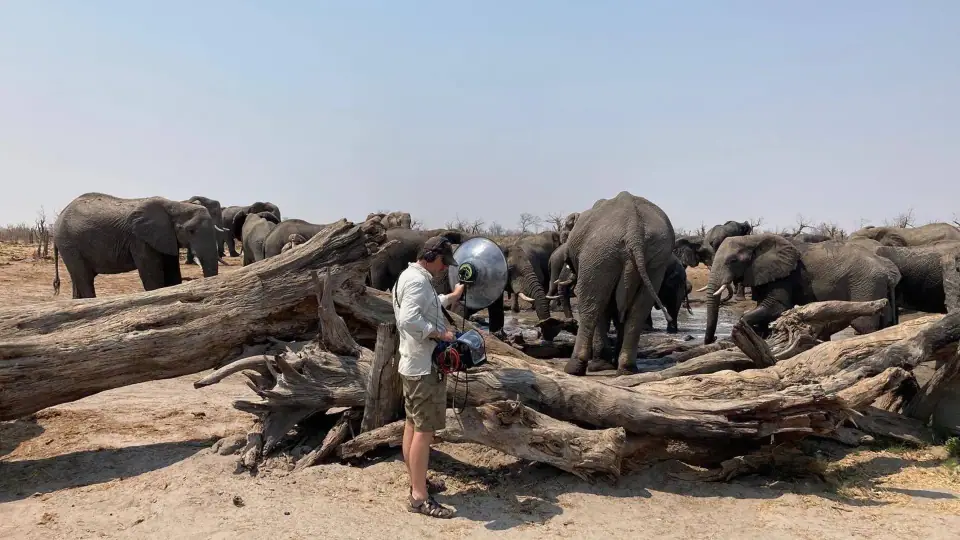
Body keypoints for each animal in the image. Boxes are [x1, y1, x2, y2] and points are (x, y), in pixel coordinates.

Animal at [52, 192, 221, 298]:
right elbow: (152, 276)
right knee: (85, 278)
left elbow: (173, 275)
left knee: (78, 280)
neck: (175, 204)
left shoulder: (165, 237)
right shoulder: (139, 239)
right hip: (68, 244)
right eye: (190, 231)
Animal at [563, 191, 676, 376]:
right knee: (638, 311)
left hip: (599, 252)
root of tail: (634, 231)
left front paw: (600, 365)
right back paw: (626, 369)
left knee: (591, 307)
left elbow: (603, 306)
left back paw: (574, 369)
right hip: (656, 259)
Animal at [703, 234, 901, 345]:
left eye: (732, 261)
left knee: (863, 324)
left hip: (866, 284)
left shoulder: (785, 276)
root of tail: (888, 273)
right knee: (886, 322)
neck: (754, 238)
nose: (713, 339)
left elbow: (776, 307)